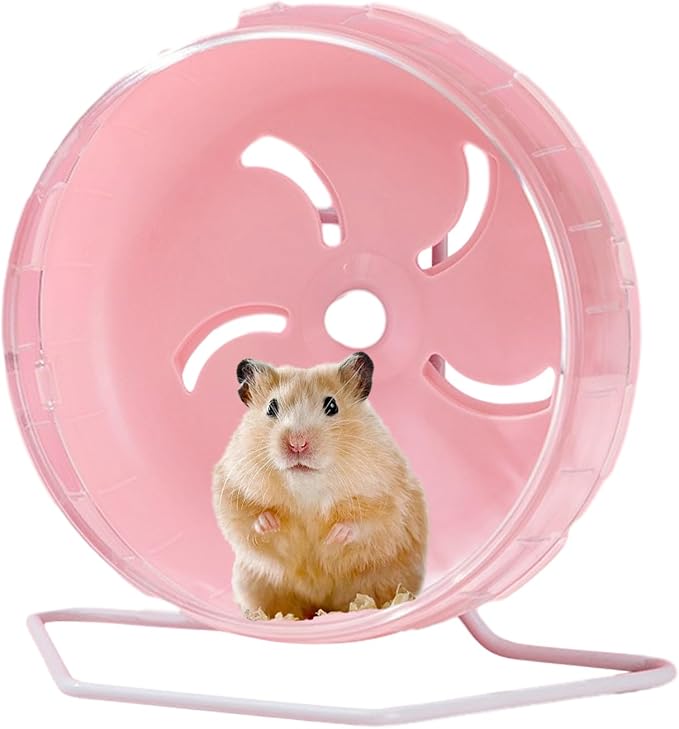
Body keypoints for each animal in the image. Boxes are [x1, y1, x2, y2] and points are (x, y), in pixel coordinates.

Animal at [211, 351, 428, 619]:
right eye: (271, 407)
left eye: (332, 406)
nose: (297, 444)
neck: (307, 488)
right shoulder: (230, 485)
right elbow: (243, 517)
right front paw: (270, 522)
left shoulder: (389, 495)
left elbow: (370, 522)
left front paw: (334, 536)